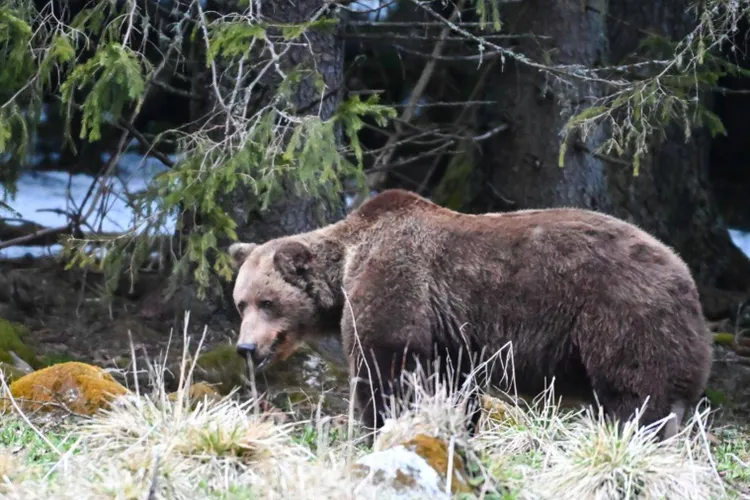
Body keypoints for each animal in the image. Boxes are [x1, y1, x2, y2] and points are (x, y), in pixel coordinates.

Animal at [231, 189, 716, 440]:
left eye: (268, 302)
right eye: (242, 302)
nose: (246, 346)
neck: (346, 263)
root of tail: (685, 275)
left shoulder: (395, 284)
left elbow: (383, 367)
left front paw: (374, 430)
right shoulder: (449, 337)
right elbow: (454, 388)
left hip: (622, 315)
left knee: (636, 394)